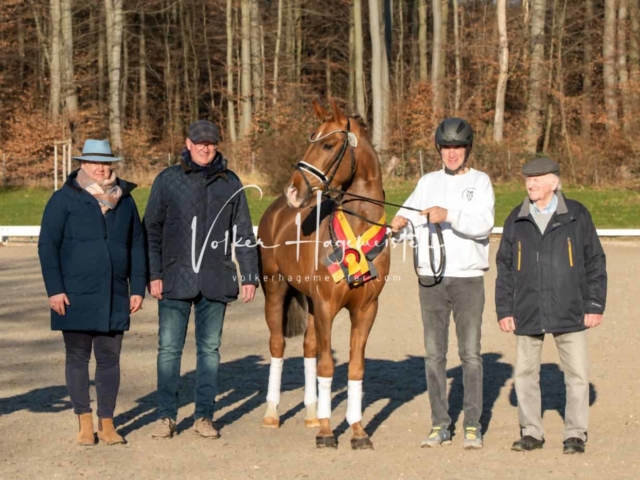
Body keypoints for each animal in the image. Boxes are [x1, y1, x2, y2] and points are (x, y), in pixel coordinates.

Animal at [258, 99, 390, 448]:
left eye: (328, 145)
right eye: (311, 139)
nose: (293, 189)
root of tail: (277, 209)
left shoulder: (366, 310)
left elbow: (355, 368)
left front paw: (357, 432)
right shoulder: (327, 306)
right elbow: (328, 366)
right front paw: (328, 432)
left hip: (309, 302)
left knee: (308, 348)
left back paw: (311, 414)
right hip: (276, 292)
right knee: (277, 345)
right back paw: (272, 414)